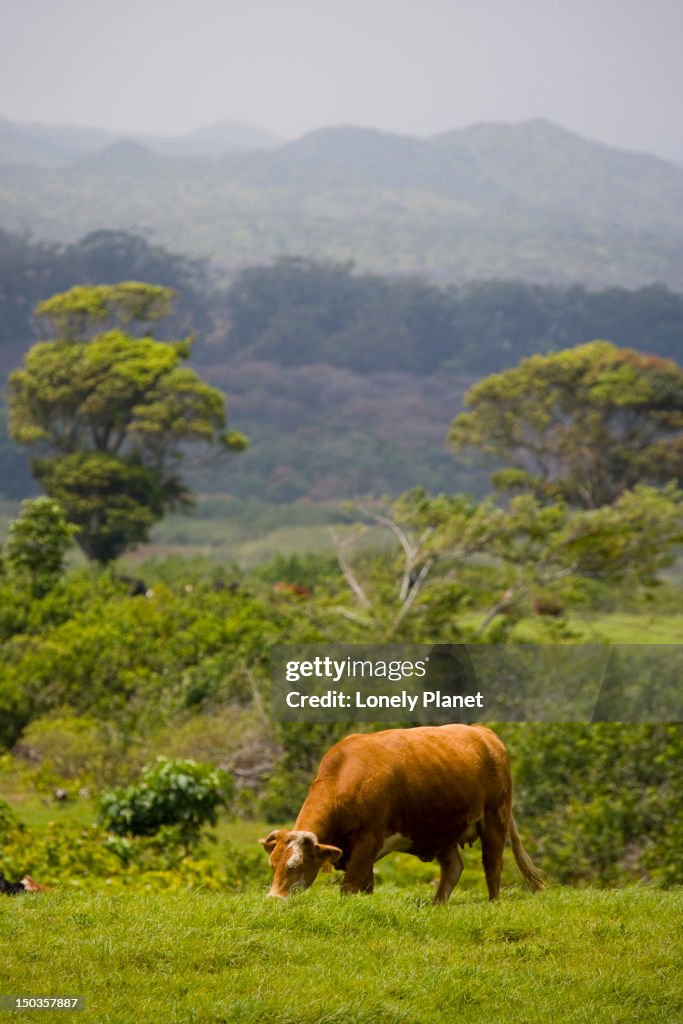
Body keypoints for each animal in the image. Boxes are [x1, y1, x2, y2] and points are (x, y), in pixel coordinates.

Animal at [262, 724, 544, 901]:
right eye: (273, 864)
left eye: (296, 865)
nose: (274, 899)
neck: (344, 776)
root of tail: (483, 732)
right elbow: (365, 886)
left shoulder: (368, 841)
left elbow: (350, 886)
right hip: (441, 828)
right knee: (453, 868)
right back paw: (436, 905)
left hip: (495, 816)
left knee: (492, 864)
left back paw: (492, 903)